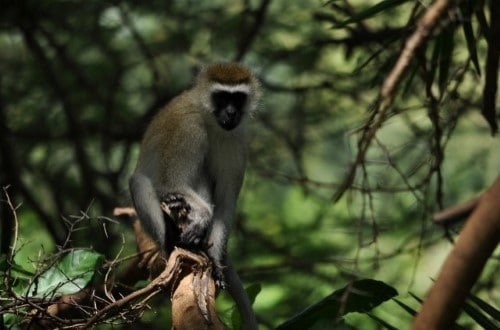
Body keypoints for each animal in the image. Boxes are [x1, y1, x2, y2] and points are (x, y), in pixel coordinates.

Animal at [129, 62, 262, 330]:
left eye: (237, 98)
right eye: (221, 97)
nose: (231, 112)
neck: (209, 120)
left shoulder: (236, 140)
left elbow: (225, 202)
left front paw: (216, 260)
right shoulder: (189, 129)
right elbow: (170, 182)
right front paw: (201, 216)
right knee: (138, 182)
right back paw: (172, 241)